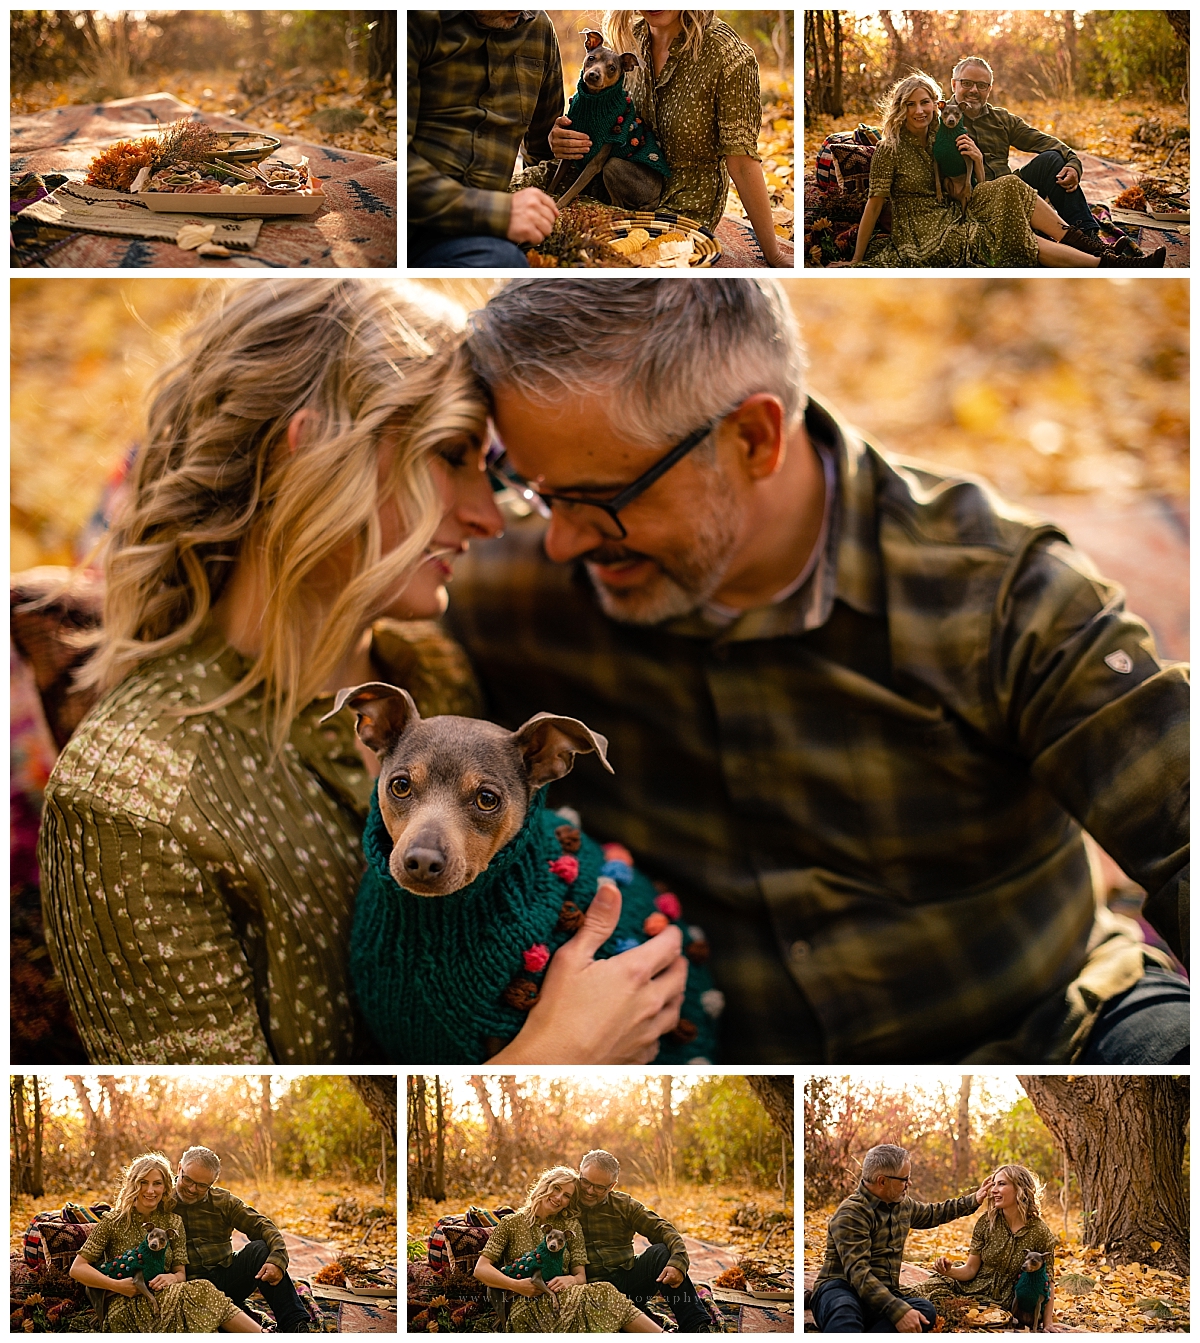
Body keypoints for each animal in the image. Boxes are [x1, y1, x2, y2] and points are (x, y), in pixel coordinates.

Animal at [550, 30, 671, 208]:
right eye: (591, 58)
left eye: (612, 68)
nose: (593, 74)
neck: (594, 102)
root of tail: (656, 199)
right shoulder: (571, 147)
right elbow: (555, 180)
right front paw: (547, 194)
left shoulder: (595, 164)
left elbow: (572, 190)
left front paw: (557, 206)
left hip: (612, 164)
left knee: (617, 204)